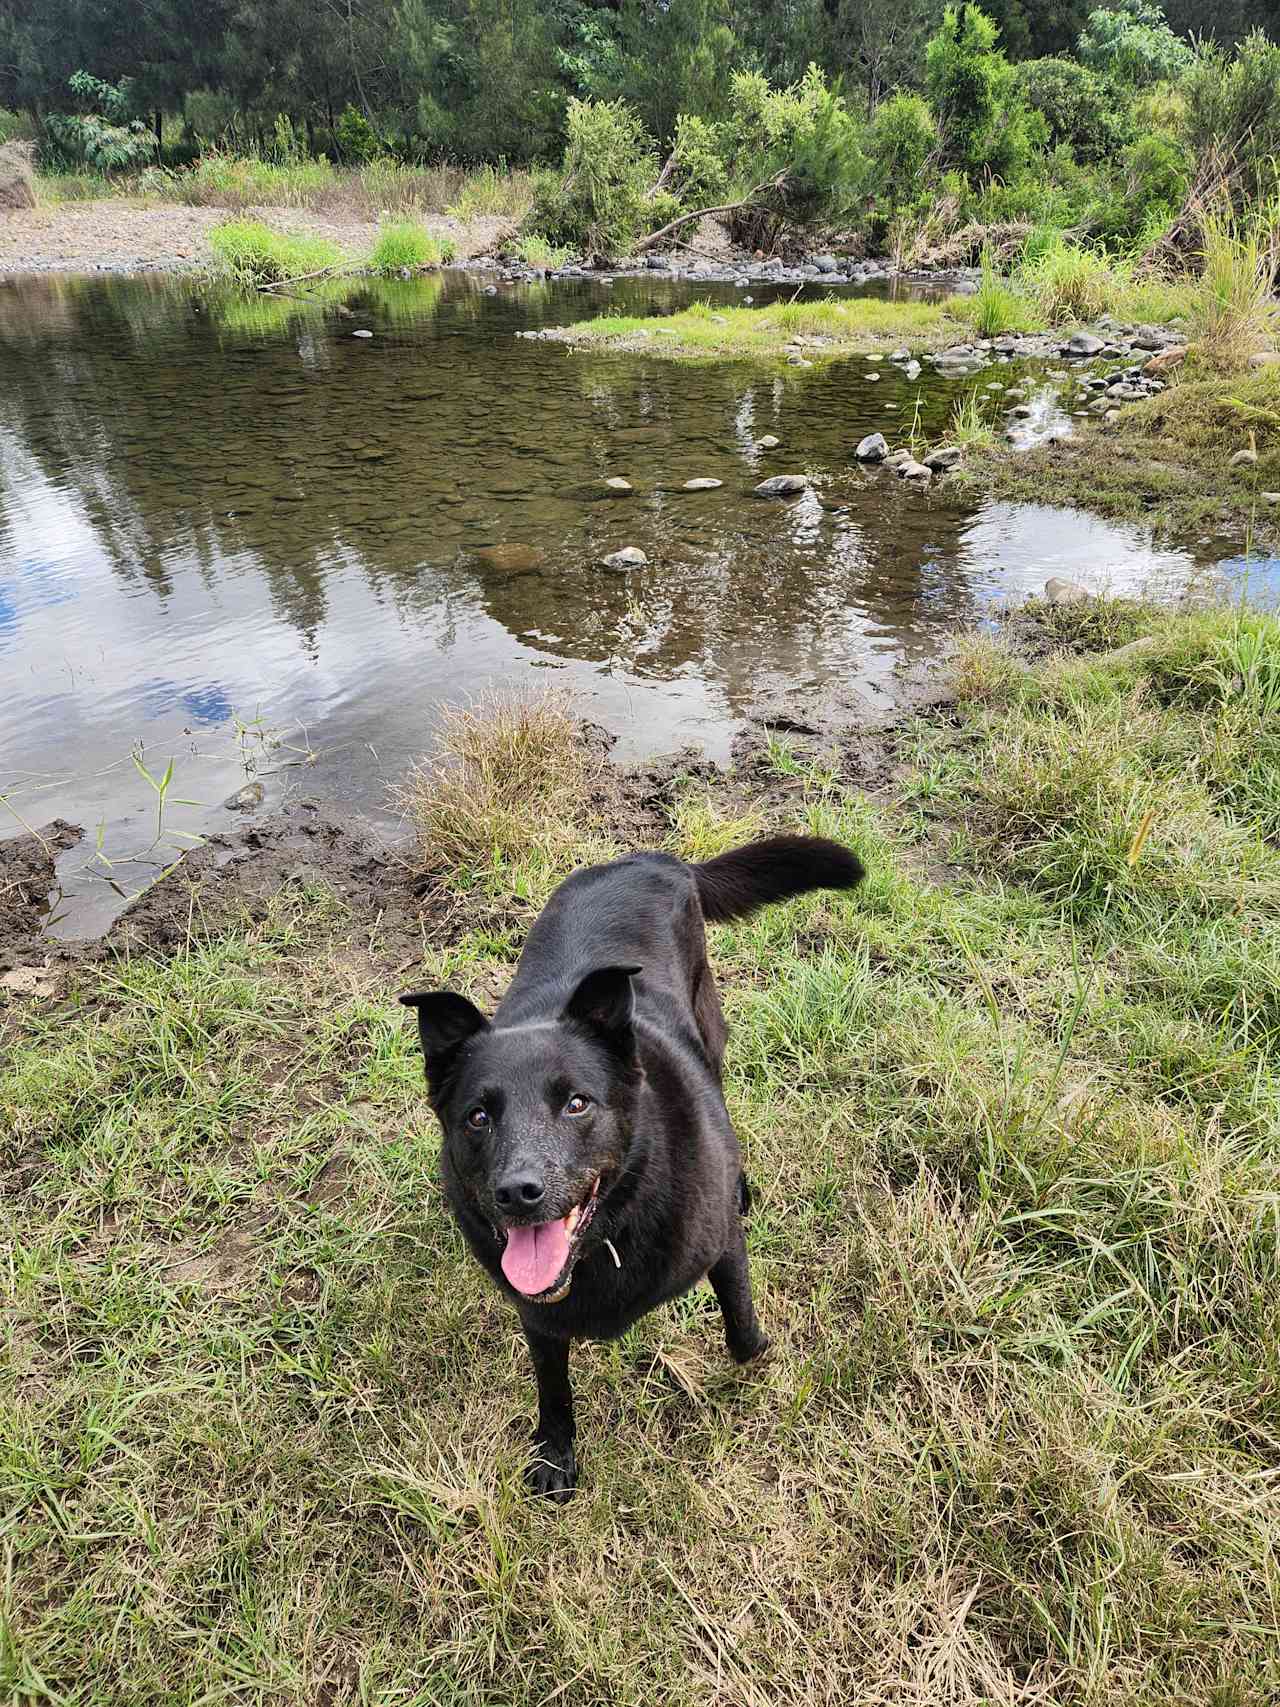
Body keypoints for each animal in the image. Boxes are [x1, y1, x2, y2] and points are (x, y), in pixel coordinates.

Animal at [401, 833, 863, 1502]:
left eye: (576, 1103)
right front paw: (555, 1456)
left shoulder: (722, 1246)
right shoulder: (538, 1311)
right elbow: (553, 1388)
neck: (611, 1231)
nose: (517, 1193)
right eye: (477, 1117)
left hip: (709, 1031)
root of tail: (656, 860)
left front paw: (758, 1360)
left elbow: (742, 1327)